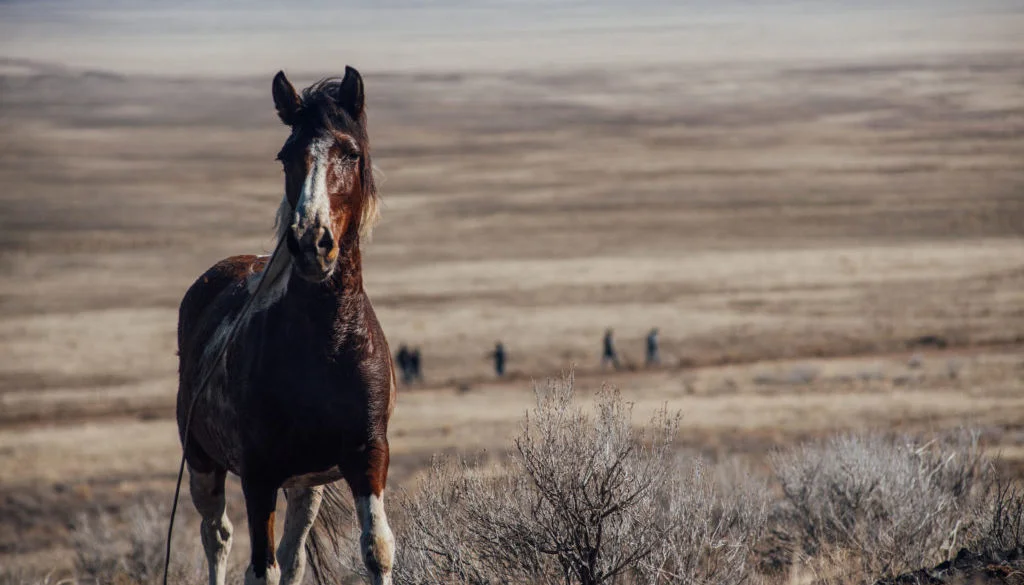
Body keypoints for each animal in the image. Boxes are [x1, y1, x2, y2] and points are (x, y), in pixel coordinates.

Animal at [176, 66, 395, 585]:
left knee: (293, 556)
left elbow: (376, 548)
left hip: (305, 485)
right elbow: (261, 568)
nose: (312, 242)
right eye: (286, 156)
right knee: (217, 537)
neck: (328, 343)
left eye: (349, 152)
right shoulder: (259, 475)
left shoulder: (368, 456)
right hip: (203, 464)